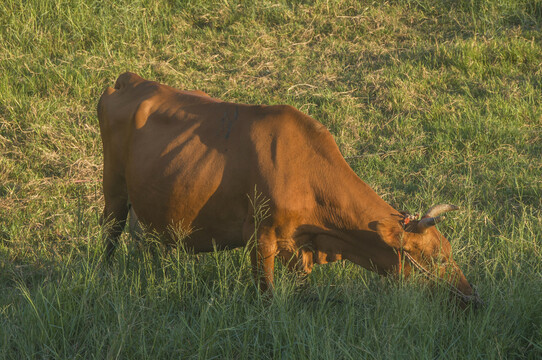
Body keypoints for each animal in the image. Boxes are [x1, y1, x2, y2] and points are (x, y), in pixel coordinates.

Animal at [98, 72, 484, 306]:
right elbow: (267, 296)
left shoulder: (300, 246)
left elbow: (303, 290)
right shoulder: (260, 237)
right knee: (111, 231)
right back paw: (103, 277)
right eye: (435, 257)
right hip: (114, 186)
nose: (472, 297)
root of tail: (132, 81)